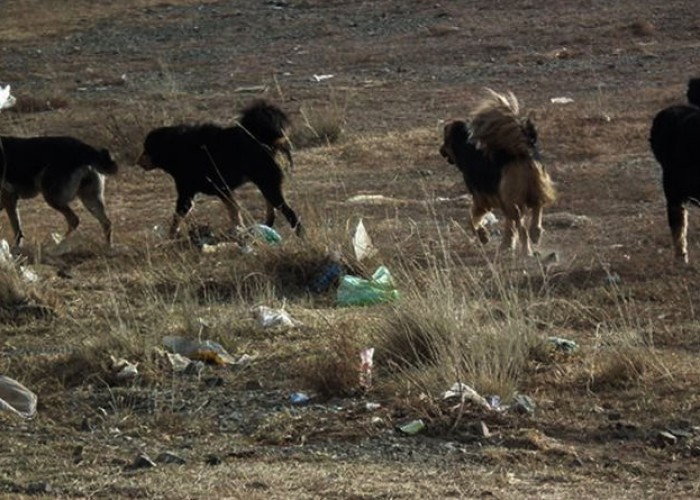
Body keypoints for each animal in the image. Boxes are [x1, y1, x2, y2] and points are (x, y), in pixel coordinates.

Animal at [137, 101, 300, 238]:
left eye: (147, 149)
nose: (138, 162)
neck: (175, 147)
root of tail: (265, 140)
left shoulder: (188, 194)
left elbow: (177, 218)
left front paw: (170, 237)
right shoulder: (223, 190)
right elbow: (234, 212)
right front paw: (239, 231)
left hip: (268, 184)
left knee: (290, 214)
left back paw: (299, 235)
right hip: (265, 184)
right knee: (272, 211)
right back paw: (266, 227)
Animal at [440, 88, 556, 256]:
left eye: (444, 141)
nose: (440, 150)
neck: (465, 145)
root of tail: (521, 151)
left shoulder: (482, 199)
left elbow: (470, 219)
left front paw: (483, 236)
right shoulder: (501, 200)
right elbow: (509, 225)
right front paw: (506, 244)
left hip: (513, 199)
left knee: (523, 227)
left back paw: (526, 249)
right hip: (534, 185)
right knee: (537, 206)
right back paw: (536, 232)